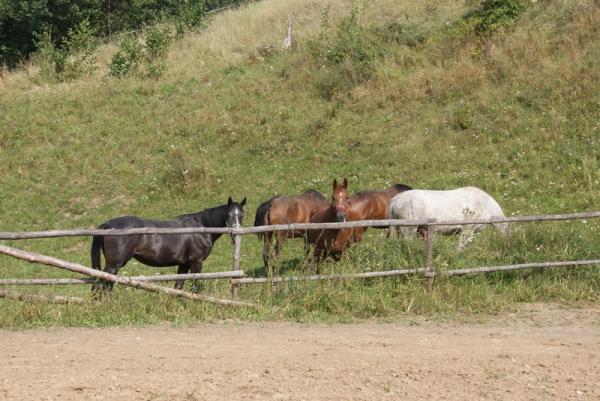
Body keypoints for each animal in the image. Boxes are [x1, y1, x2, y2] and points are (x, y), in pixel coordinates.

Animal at [90, 198, 245, 294]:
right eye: (229, 215)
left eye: (241, 215)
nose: (236, 233)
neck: (202, 226)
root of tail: (109, 224)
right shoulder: (196, 262)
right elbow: (195, 285)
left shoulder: (184, 264)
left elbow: (178, 287)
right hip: (113, 264)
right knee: (99, 284)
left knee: (107, 284)